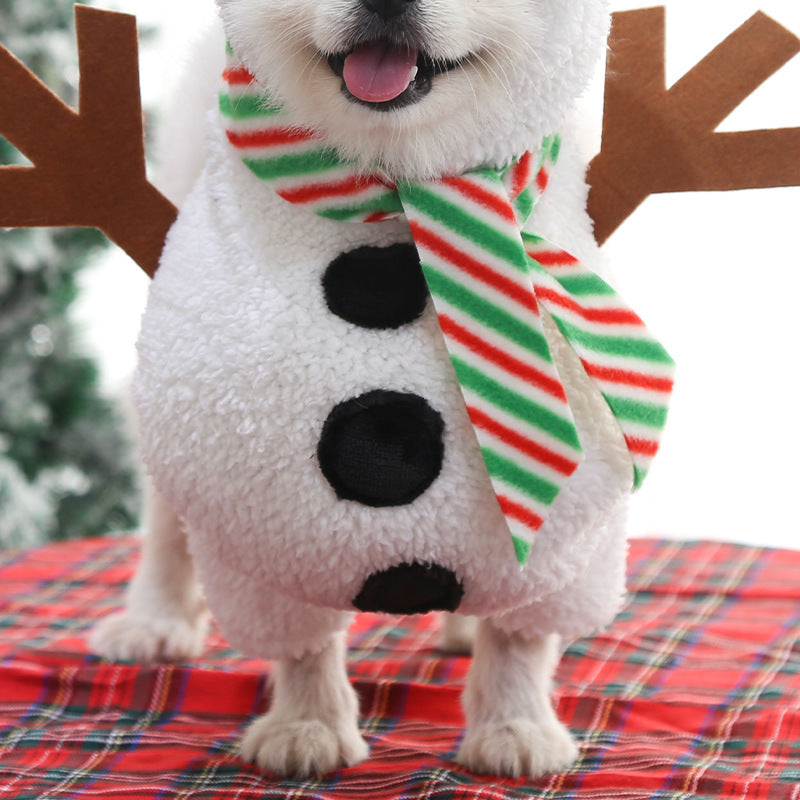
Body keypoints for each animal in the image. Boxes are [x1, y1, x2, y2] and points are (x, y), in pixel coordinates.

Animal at [92, 0, 644, 780]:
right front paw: (308, 724)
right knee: (167, 519)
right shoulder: (255, 493)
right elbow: (300, 638)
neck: (398, 186)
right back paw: (155, 619)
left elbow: (522, 634)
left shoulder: (583, 507)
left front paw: (515, 725)